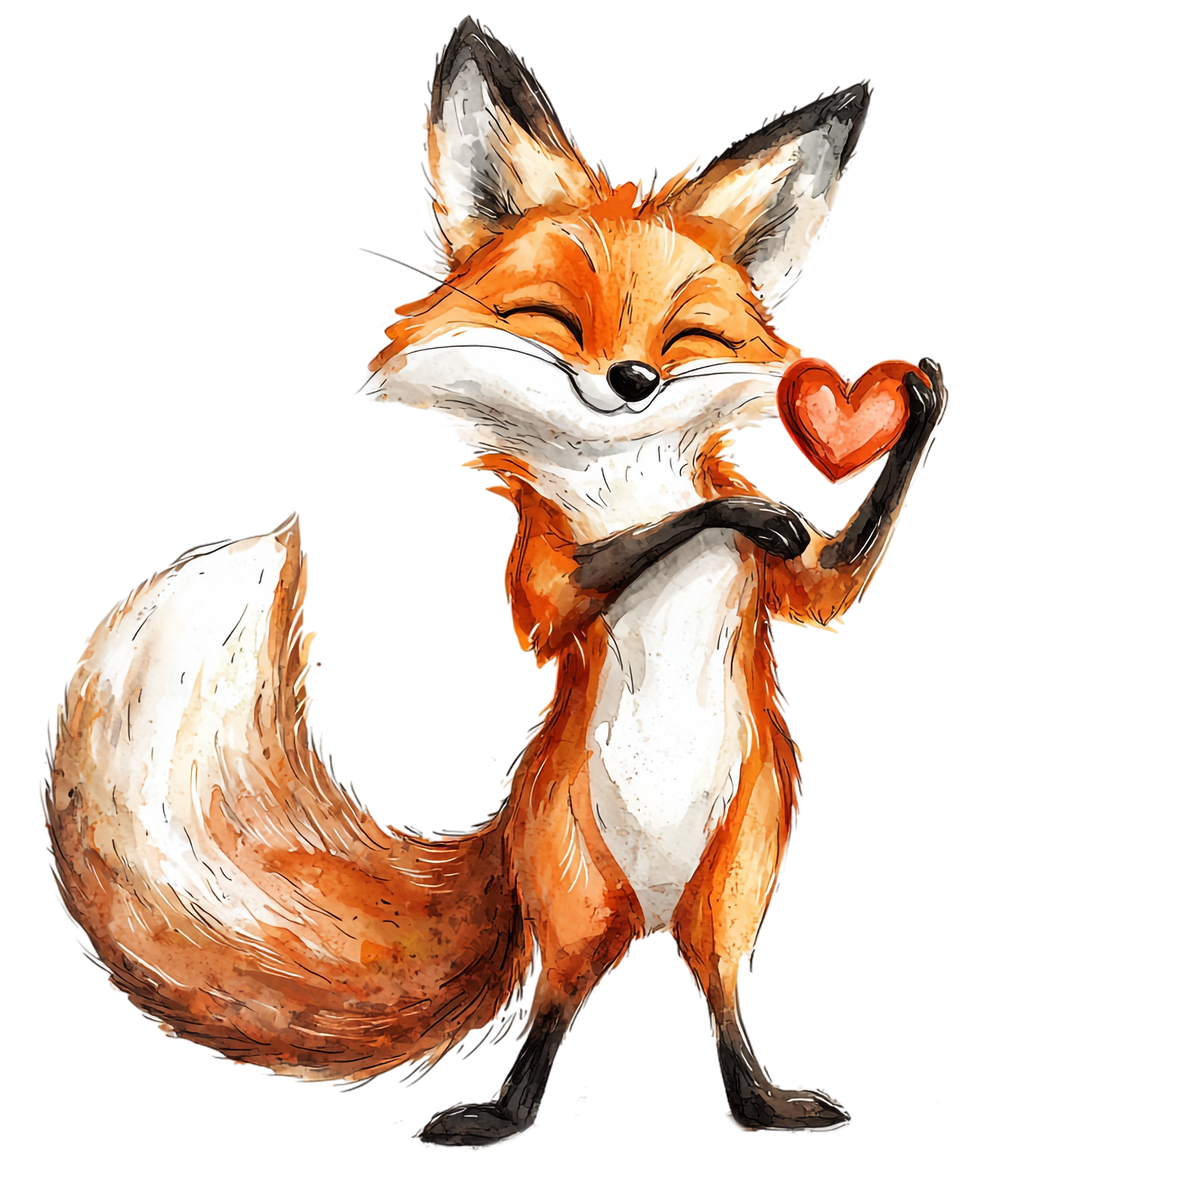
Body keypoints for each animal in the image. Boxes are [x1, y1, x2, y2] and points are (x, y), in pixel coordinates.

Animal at [39, 12, 949, 1151]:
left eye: (688, 338)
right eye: (555, 321)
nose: (634, 382)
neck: (626, 473)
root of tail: (647, 908)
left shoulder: (784, 593)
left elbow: (831, 590)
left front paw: (920, 407)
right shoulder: (541, 568)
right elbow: (589, 582)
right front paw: (730, 516)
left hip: (738, 874)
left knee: (721, 991)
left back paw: (762, 1103)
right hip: (574, 888)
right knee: (554, 1005)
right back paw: (501, 1116)